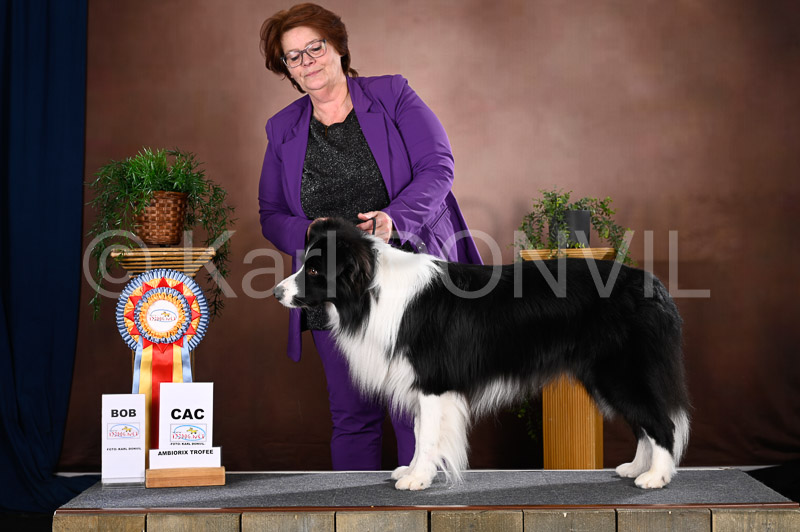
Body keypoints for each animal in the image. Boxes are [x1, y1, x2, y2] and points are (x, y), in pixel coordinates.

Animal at [274, 218, 690, 491]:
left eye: (315, 270)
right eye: (305, 263)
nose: (277, 292)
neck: (371, 291)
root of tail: (652, 285)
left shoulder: (434, 381)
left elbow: (427, 434)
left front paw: (418, 478)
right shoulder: (423, 384)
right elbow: (421, 431)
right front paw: (413, 471)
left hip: (621, 371)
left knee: (661, 423)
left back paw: (655, 478)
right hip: (605, 375)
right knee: (642, 423)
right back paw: (635, 468)